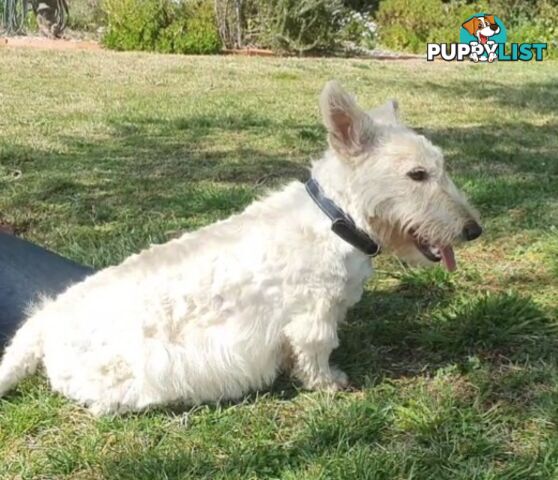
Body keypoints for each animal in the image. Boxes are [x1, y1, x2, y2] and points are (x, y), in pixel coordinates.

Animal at [0, 80, 482, 414]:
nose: (473, 230)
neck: (337, 219)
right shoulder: (314, 316)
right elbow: (317, 351)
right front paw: (331, 383)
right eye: (417, 175)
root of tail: (44, 320)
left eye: (439, 167)